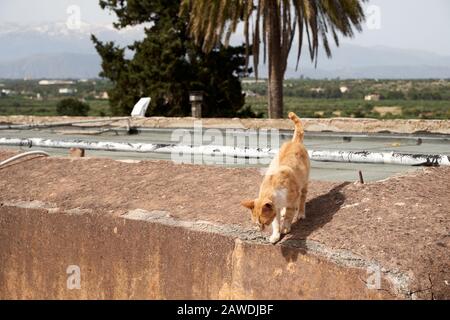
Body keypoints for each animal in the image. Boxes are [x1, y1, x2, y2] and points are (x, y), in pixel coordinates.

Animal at [243, 112, 310, 242]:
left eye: (263, 223)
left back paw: (300, 213)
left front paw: (285, 228)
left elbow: (289, 216)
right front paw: (275, 235)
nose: (261, 230)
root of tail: (294, 142)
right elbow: (276, 223)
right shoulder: (276, 208)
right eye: (257, 224)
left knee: (302, 198)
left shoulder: (292, 199)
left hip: (304, 183)